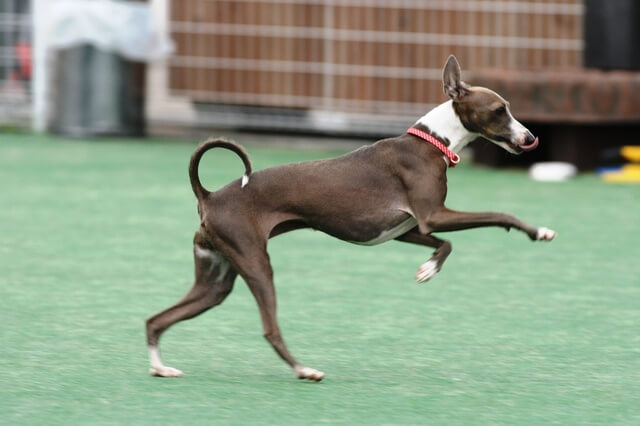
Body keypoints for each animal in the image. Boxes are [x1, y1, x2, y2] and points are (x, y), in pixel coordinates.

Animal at [145, 55, 556, 382]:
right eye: (500, 110)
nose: (530, 137)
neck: (431, 142)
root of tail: (209, 196)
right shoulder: (433, 216)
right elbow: (498, 214)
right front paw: (538, 230)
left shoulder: (406, 229)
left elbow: (446, 243)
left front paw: (428, 268)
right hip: (255, 263)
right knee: (269, 330)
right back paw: (304, 370)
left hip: (215, 279)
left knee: (157, 319)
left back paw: (161, 367)